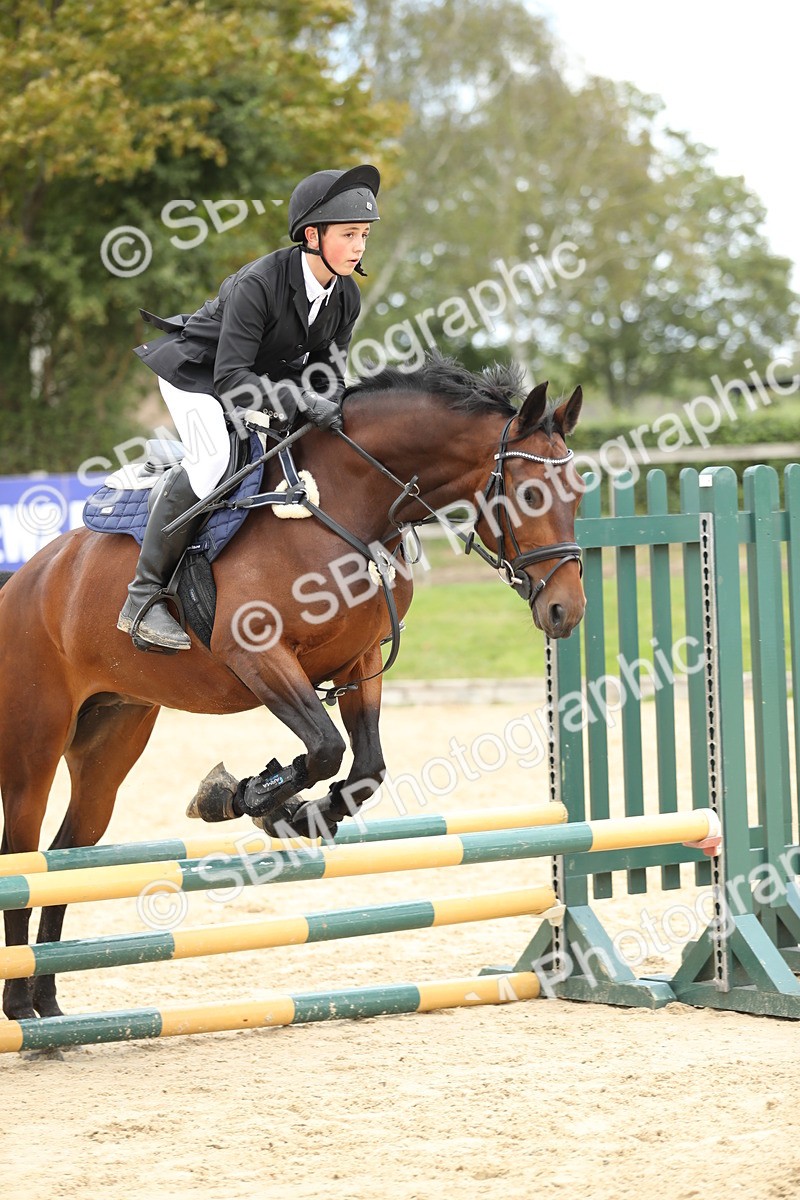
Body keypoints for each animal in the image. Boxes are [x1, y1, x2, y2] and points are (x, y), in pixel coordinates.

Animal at [0, 356, 585, 1021]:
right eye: (532, 493)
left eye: (581, 491)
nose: (567, 611)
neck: (352, 505)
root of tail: (25, 580)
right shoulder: (259, 656)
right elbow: (326, 749)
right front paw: (242, 797)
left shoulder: (357, 660)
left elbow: (364, 770)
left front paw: (292, 812)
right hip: (33, 749)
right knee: (22, 853)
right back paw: (18, 1002)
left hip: (113, 737)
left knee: (66, 853)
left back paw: (46, 998)